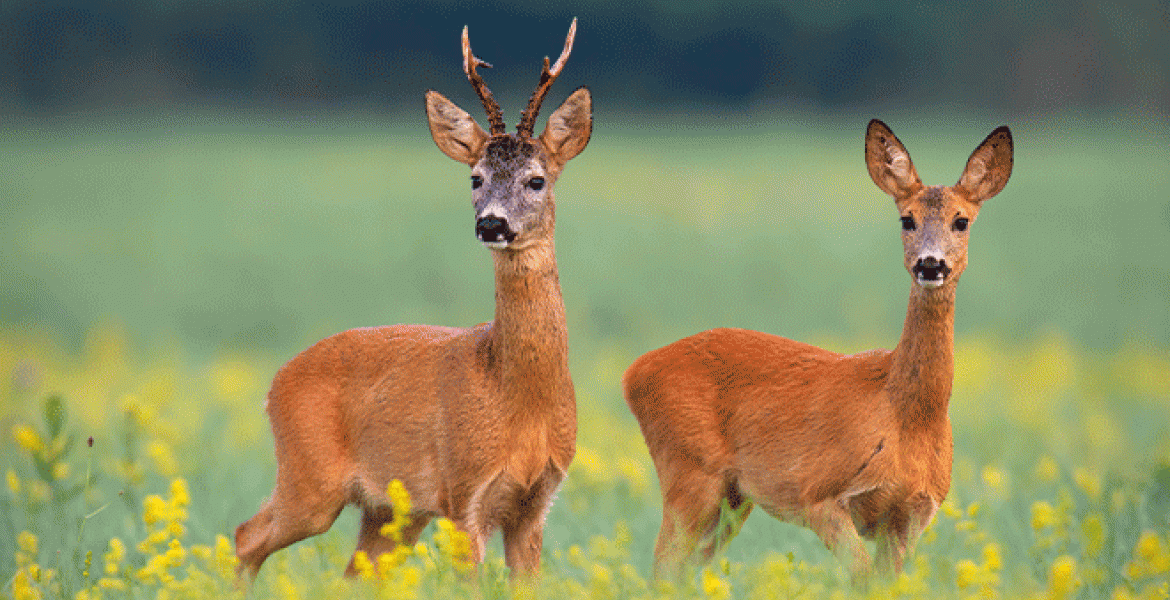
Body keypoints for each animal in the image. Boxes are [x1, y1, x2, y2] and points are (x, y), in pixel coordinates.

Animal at [236, 19, 589, 580]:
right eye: (475, 177)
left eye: (537, 179)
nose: (491, 223)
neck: (518, 400)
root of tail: (273, 384)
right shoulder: (463, 493)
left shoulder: (536, 504)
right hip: (310, 480)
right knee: (245, 536)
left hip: (388, 510)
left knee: (351, 571)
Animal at [622, 120, 1015, 580]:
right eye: (907, 219)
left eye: (961, 221)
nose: (930, 264)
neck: (906, 414)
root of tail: (633, 372)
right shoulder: (819, 493)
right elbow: (861, 579)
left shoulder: (912, 514)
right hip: (689, 469)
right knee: (663, 567)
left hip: (732, 498)